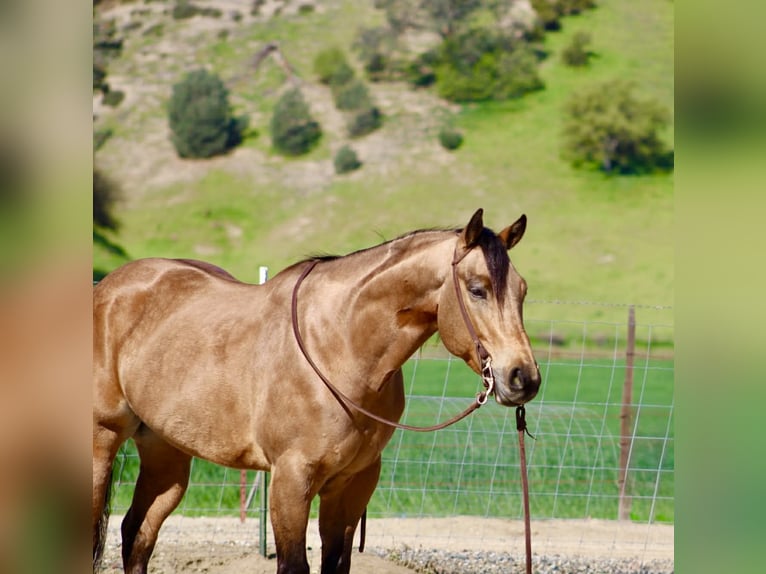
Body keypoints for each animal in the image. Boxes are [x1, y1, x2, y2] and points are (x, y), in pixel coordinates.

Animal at [92, 208, 541, 574]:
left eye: (522, 290)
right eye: (477, 288)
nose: (523, 378)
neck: (340, 346)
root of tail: (106, 289)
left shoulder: (353, 483)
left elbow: (336, 563)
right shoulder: (291, 480)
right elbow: (294, 565)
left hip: (166, 453)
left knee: (137, 534)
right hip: (102, 441)